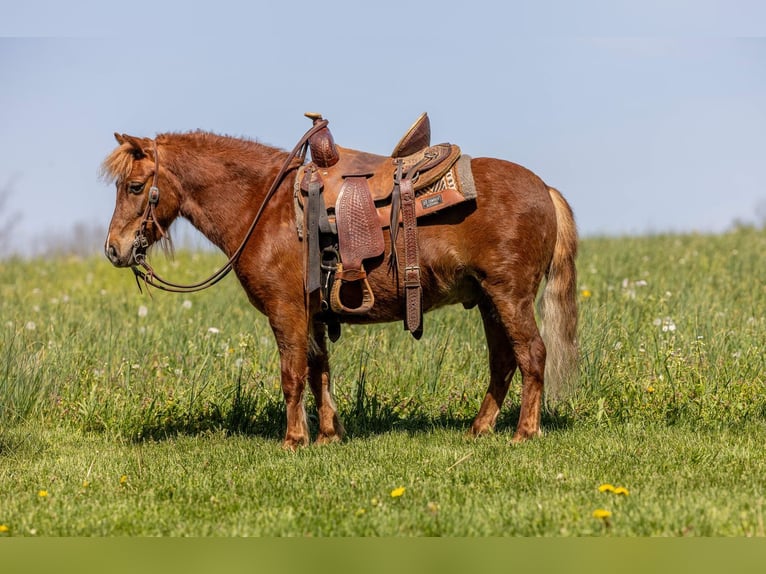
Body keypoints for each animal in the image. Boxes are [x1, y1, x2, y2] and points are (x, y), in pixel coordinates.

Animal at [101, 121, 578, 448]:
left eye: (136, 186)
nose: (114, 249)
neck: (265, 205)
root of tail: (544, 189)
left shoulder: (286, 309)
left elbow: (292, 373)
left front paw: (294, 440)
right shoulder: (313, 313)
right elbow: (318, 371)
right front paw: (329, 433)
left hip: (509, 296)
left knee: (532, 354)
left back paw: (525, 432)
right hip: (487, 300)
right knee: (503, 361)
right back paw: (480, 428)